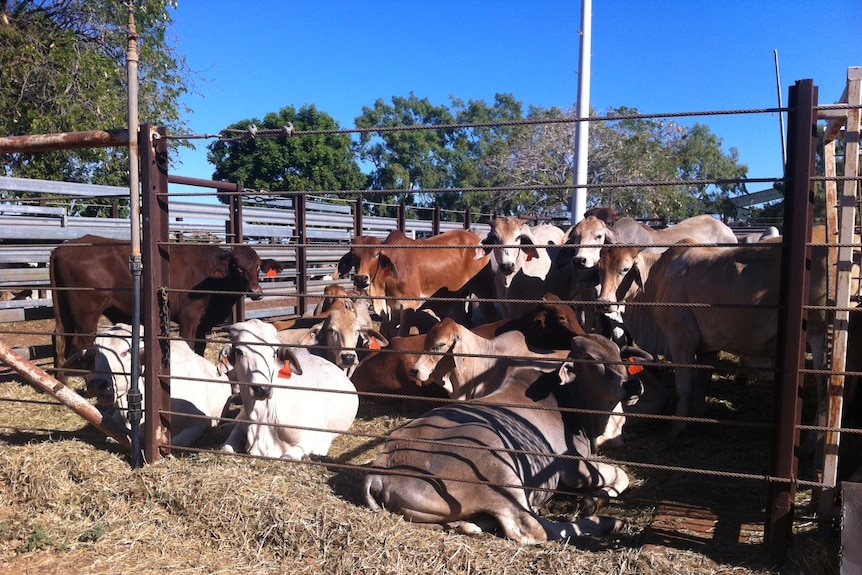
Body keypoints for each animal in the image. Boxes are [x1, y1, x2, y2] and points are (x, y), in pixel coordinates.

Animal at [223, 318, 362, 462]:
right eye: (239, 351)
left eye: (275, 351)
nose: (262, 389)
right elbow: (226, 448)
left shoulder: (318, 440)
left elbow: (287, 456)